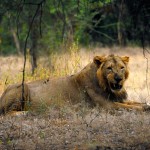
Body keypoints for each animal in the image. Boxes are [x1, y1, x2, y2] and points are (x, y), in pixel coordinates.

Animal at [0, 54, 150, 114]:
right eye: (109, 68)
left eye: (121, 67)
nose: (118, 78)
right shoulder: (106, 106)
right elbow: (129, 107)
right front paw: (143, 108)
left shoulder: (117, 98)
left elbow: (134, 103)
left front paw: (146, 105)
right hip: (22, 86)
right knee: (7, 113)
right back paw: (25, 113)